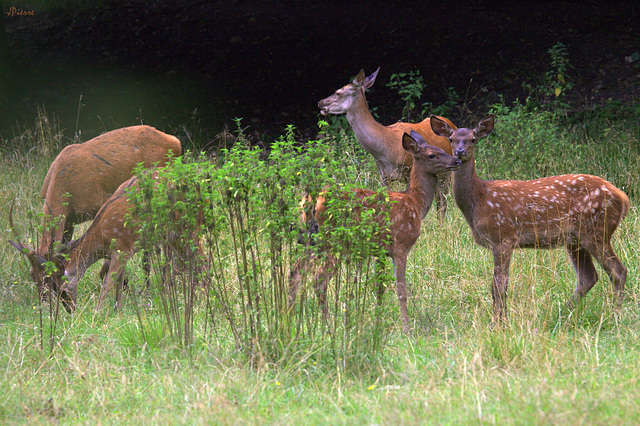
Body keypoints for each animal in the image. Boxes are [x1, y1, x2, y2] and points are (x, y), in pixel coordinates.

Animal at [10, 170, 205, 312]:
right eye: (32, 276)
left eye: (61, 288)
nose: (70, 310)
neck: (102, 240)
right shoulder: (123, 252)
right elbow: (119, 281)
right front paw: (117, 309)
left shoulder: (121, 248)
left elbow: (107, 283)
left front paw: (98, 312)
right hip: (173, 237)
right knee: (188, 261)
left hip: (190, 227)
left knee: (201, 259)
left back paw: (201, 297)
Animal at [29, 124, 180, 300]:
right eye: (32, 275)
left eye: (51, 275)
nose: (45, 299)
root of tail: (176, 142)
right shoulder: (70, 220)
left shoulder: (99, 202)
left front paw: (124, 287)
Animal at [292, 130, 462, 332]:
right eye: (431, 155)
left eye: (441, 148)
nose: (456, 160)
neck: (416, 203)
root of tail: (310, 201)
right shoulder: (401, 244)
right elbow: (401, 288)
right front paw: (406, 327)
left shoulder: (379, 251)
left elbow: (379, 287)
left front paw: (378, 322)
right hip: (332, 241)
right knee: (319, 280)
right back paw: (328, 325)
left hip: (310, 242)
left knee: (295, 273)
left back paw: (287, 315)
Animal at [318, 68, 458, 220]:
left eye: (338, 92)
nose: (320, 102)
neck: (385, 147)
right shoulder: (383, 176)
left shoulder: (409, 169)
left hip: (447, 173)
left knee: (442, 202)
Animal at [430, 115, 632, 322]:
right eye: (451, 139)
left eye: (473, 139)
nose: (459, 152)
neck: (479, 198)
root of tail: (623, 198)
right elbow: (499, 286)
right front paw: (501, 319)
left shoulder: (503, 236)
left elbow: (498, 286)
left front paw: (498, 322)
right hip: (575, 239)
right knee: (588, 277)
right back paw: (561, 314)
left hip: (597, 229)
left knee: (618, 271)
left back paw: (614, 314)